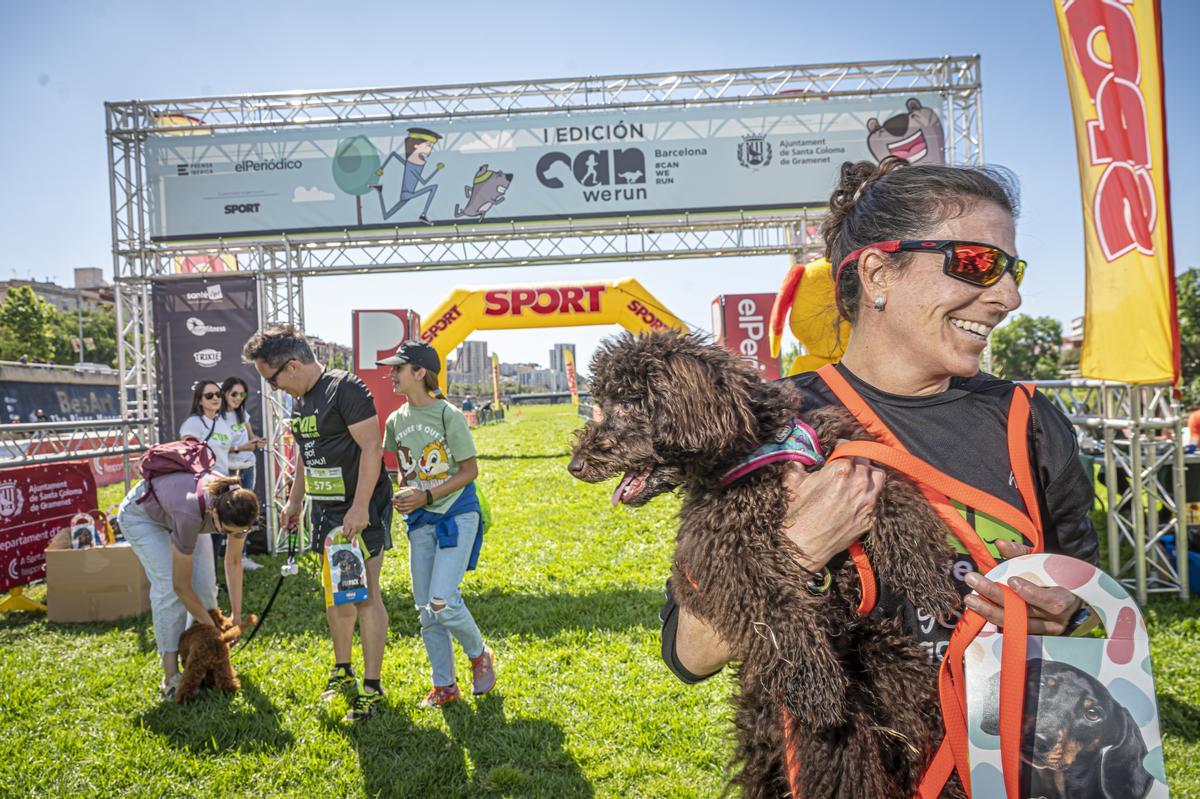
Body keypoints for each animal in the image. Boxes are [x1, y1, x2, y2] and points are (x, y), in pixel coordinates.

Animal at [568, 328, 964, 796]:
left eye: (627, 404)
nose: (574, 465)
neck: (754, 449)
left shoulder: (852, 454)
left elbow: (902, 509)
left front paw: (932, 583)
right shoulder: (723, 553)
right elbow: (777, 609)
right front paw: (814, 682)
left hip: (893, 666)